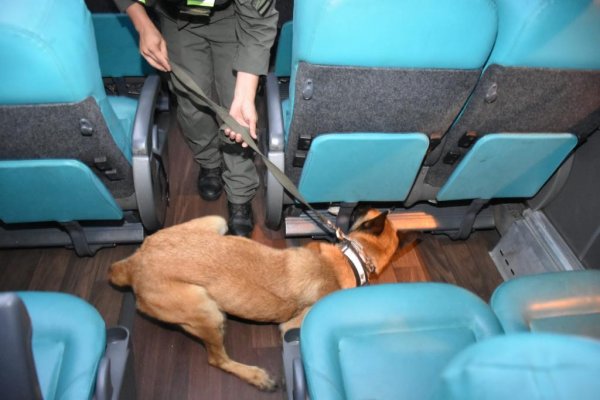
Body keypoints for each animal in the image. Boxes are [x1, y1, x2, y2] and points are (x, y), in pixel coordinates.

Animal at [109, 209, 412, 390]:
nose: (347, 207)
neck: (351, 259)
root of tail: (134, 264)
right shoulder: (291, 327)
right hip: (206, 310)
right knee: (217, 360)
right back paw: (256, 376)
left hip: (216, 222)